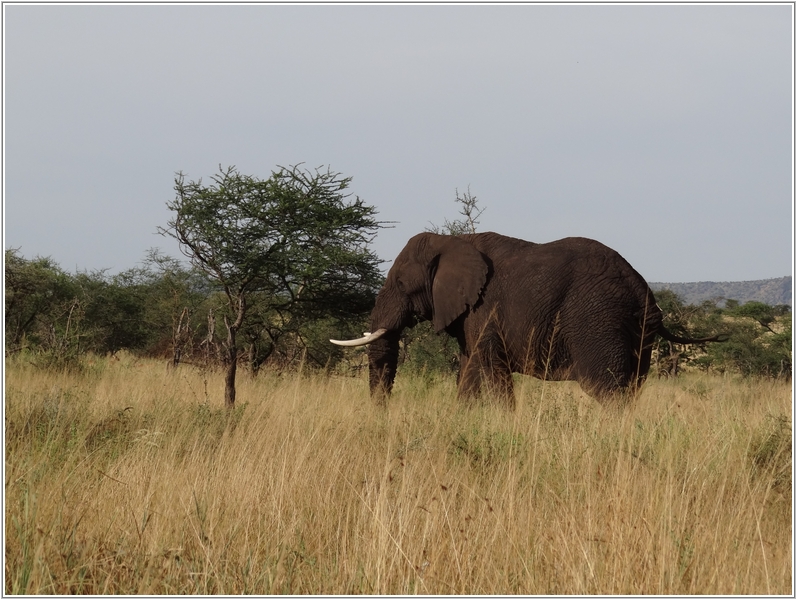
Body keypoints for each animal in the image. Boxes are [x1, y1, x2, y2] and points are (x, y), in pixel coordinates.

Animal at [330, 231, 720, 408]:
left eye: (400, 283)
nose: (382, 415)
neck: (452, 240)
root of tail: (645, 291)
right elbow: (468, 370)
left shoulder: (485, 310)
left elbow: (492, 369)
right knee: (632, 388)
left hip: (599, 320)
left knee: (607, 391)